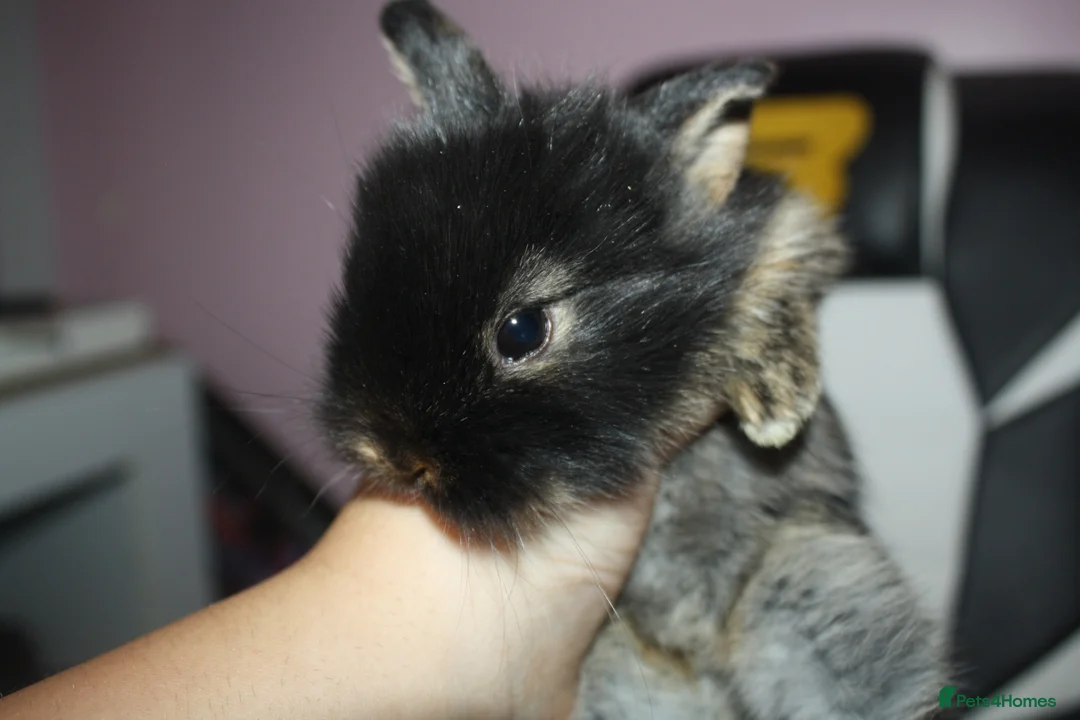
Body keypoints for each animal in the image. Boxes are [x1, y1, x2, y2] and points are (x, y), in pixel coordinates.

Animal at [316, 1, 950, 717]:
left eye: (522, 331)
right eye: (356, 282)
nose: (393, 457)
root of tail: (695, 657)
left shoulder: (785, 227)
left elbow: (775, 275)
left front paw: (776, 404)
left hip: (825, 590)